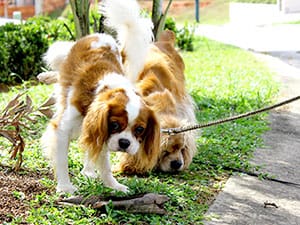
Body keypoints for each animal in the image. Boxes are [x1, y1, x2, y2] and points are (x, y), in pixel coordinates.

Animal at [42, 0, 159, 193]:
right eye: (115, 124)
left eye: (140, 129)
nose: (124, 143)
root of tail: (101, 35)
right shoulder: (64, 129)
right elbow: (62, 160)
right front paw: (65, 187)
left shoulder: (100, 129)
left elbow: (104, 163)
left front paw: (113, 185)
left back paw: (88, 171)